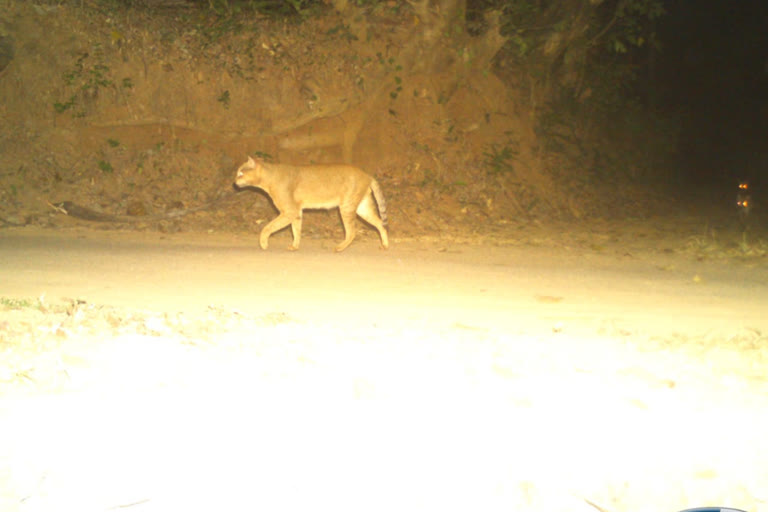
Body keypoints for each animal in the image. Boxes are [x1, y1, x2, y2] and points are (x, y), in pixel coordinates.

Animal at [232, 156, 390, 252]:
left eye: (241, 173)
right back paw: (385, 245)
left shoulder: (289, 211)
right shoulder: (296, 212)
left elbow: (268, 227)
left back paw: (339, 248)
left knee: (352, 231)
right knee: (379, 222)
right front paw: (295, 246)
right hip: (362, 207)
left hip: (346, 207)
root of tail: (367, 174)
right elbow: (296, 230)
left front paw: (263, 243)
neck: (268, 179)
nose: (234, 182)